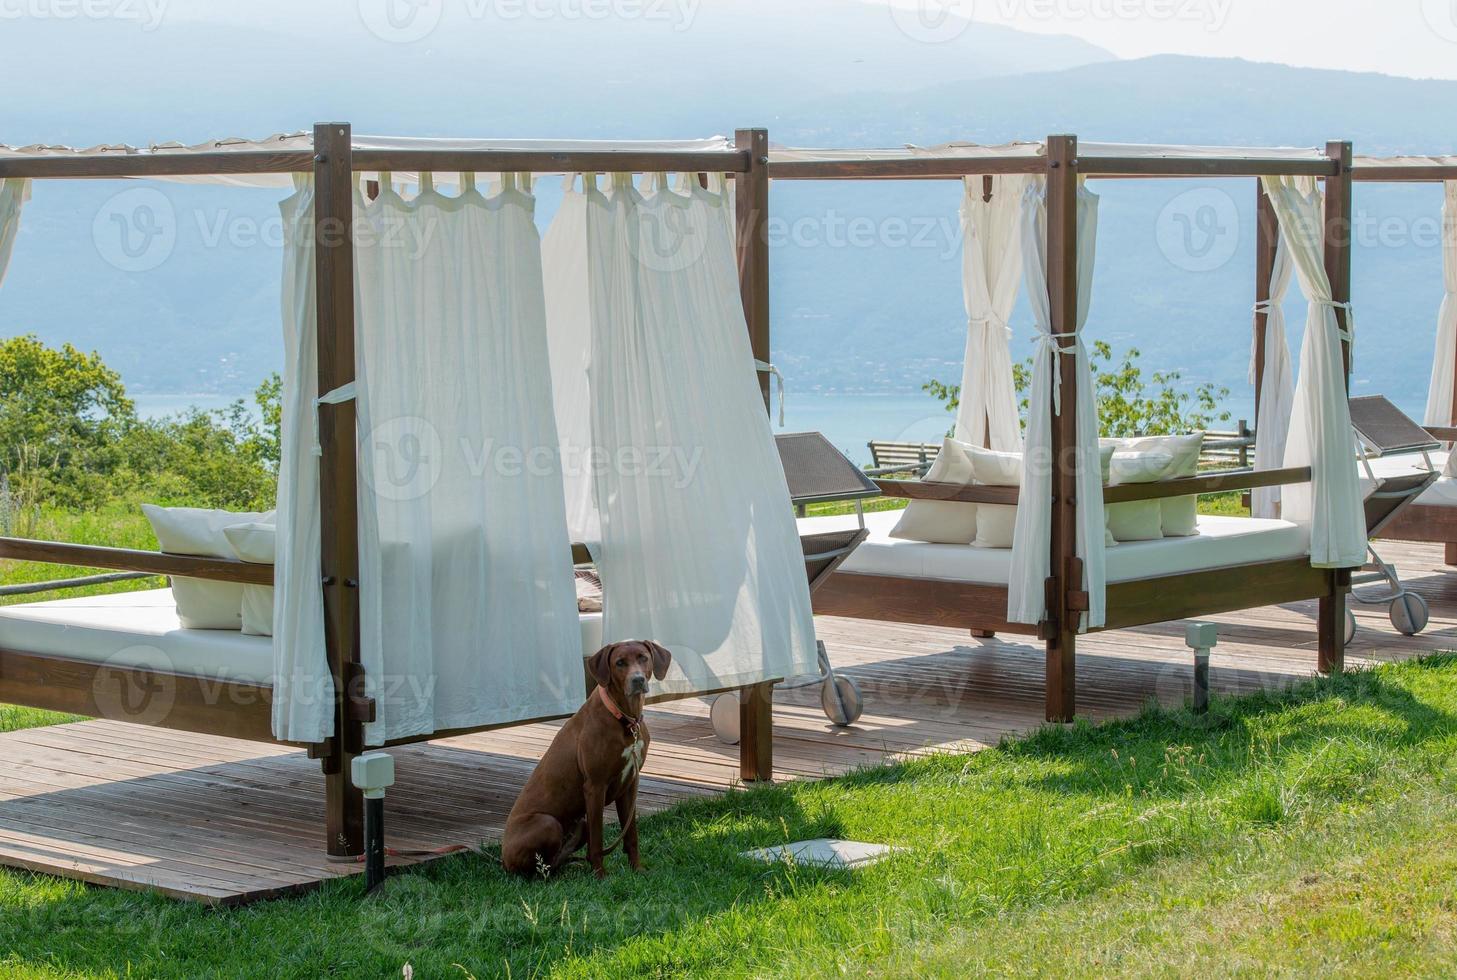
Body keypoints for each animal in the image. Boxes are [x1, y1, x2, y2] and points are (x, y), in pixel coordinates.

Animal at [501, 637, 670, 873]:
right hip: (548, 823)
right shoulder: (594, 787)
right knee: (537, 870)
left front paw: (637, 869)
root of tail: (501, 858)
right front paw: (600, 876)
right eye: (620, 663)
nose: (637, 680)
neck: (625, 719)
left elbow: (631, 835)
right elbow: (597, 841)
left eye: (643, 658)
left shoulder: (629, 785)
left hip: (580, 823)